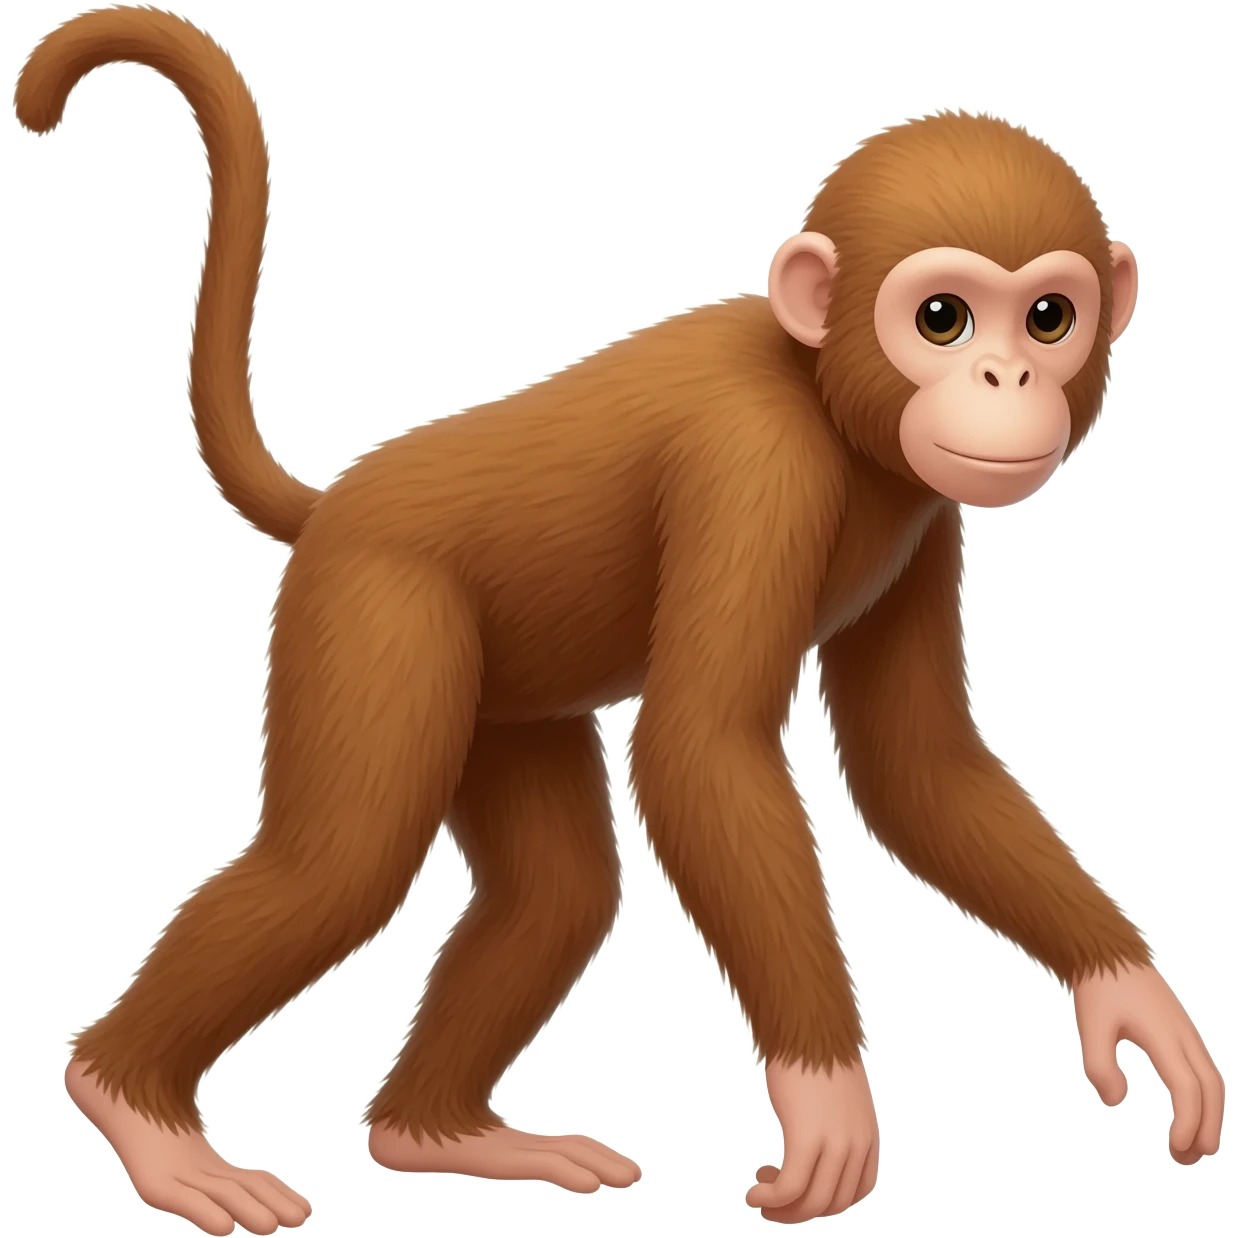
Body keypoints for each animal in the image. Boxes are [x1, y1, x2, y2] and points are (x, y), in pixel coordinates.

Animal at [15, 8, 1226, 1235]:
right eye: (942, 317)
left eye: (1047, 316)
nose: (1003, 376)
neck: (827, 400)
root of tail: (340, 501)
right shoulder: (752, 464)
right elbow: (703, 748)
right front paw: (827, 1097)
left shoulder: (926, 517)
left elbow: (918, 767)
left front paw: (1130, 996)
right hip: (374, 607)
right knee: (339, 864)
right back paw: (139, 1112)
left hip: (500, 694)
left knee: (553, 895)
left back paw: (436, 1133)